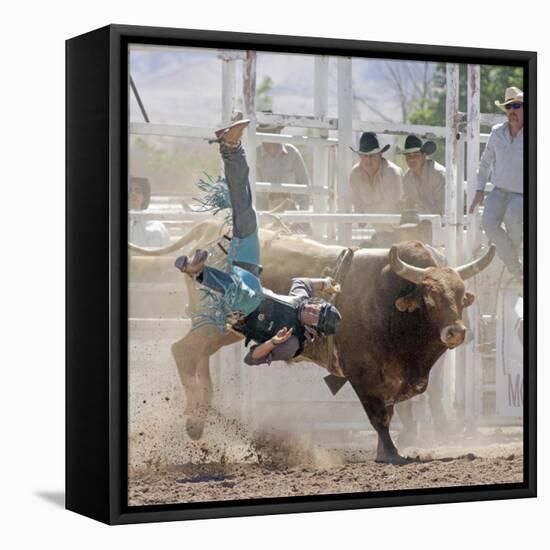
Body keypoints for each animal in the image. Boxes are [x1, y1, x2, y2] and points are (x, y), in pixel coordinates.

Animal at [129, 220, 496, 466]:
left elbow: (391, 413)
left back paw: (201, 413)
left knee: (195, 355)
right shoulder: (361, 374)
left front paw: (384, 451)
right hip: (216, 324)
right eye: (430, 298)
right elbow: (379, 417)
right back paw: (194, 421)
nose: (456, 332)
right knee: (182, 350)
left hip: (220, 329)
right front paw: (391, 454)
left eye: (461, 296)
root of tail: (211, 229)